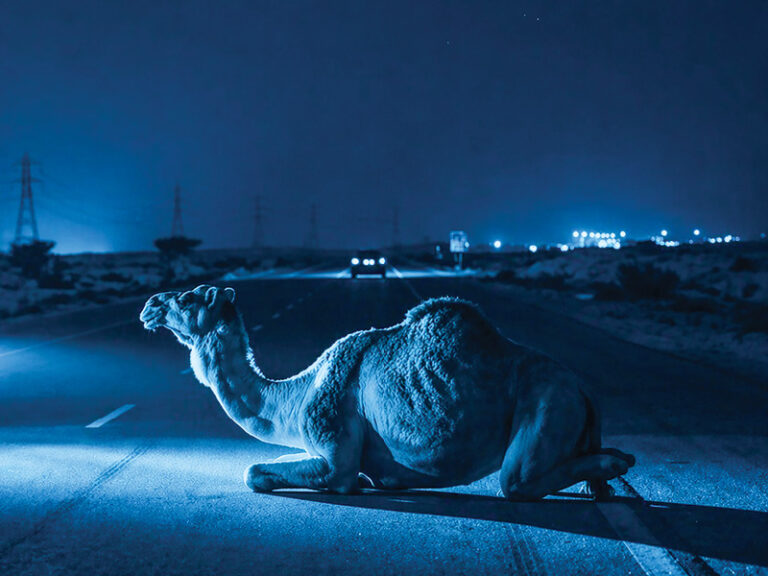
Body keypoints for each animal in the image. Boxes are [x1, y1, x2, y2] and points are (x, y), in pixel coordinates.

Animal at [140, 285, 634, 500]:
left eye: (187, 298)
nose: (149, 305)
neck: (296, 396)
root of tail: (583, 387)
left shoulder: (333, 449)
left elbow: (257, 472)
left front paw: (362, 482)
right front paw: (373, 479)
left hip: (549, 403)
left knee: (515, 482)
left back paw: (614, 464)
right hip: (564, 405)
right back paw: (602, 478)